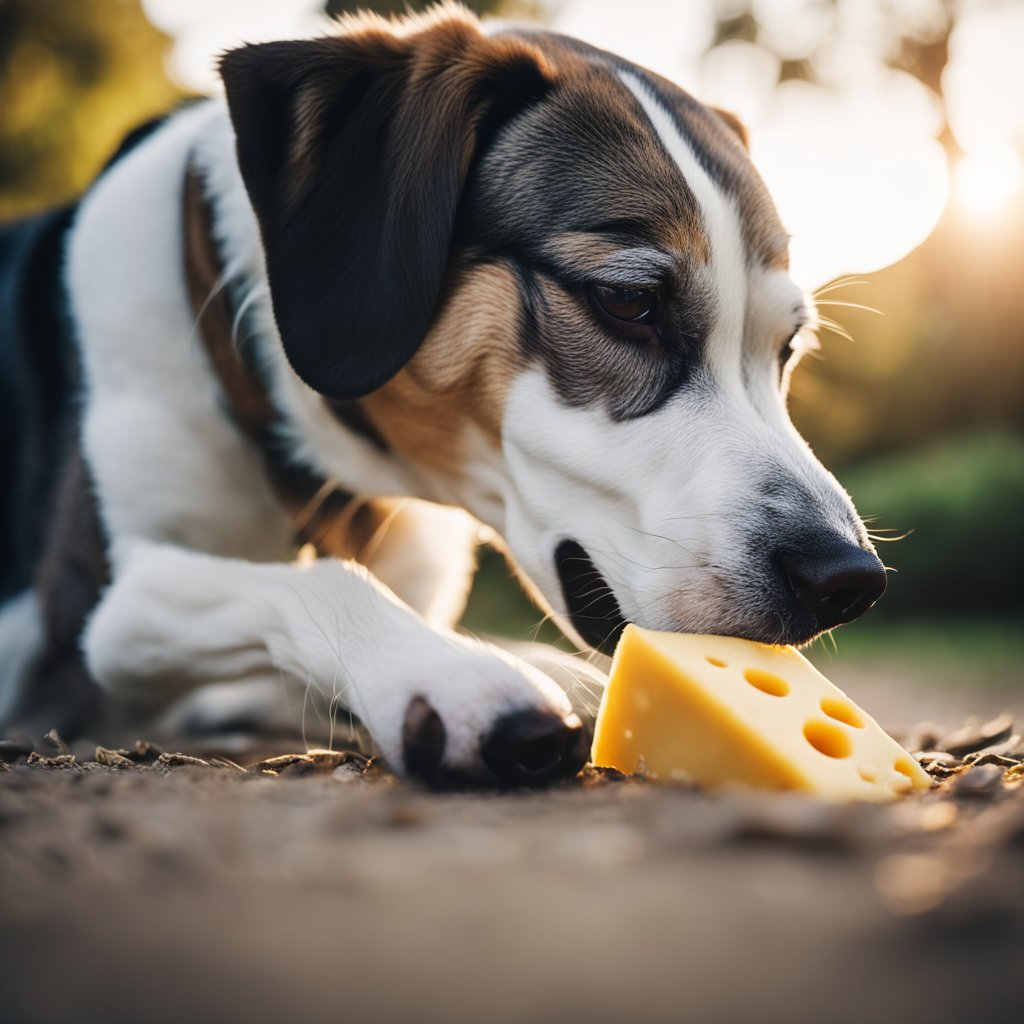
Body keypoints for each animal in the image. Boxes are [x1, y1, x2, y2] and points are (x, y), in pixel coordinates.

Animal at [0, 4, 888, 782]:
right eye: (627, 301)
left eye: (788, 348)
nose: (847, 580)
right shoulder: (87, 620)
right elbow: (310, 581)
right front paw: (457, 677)